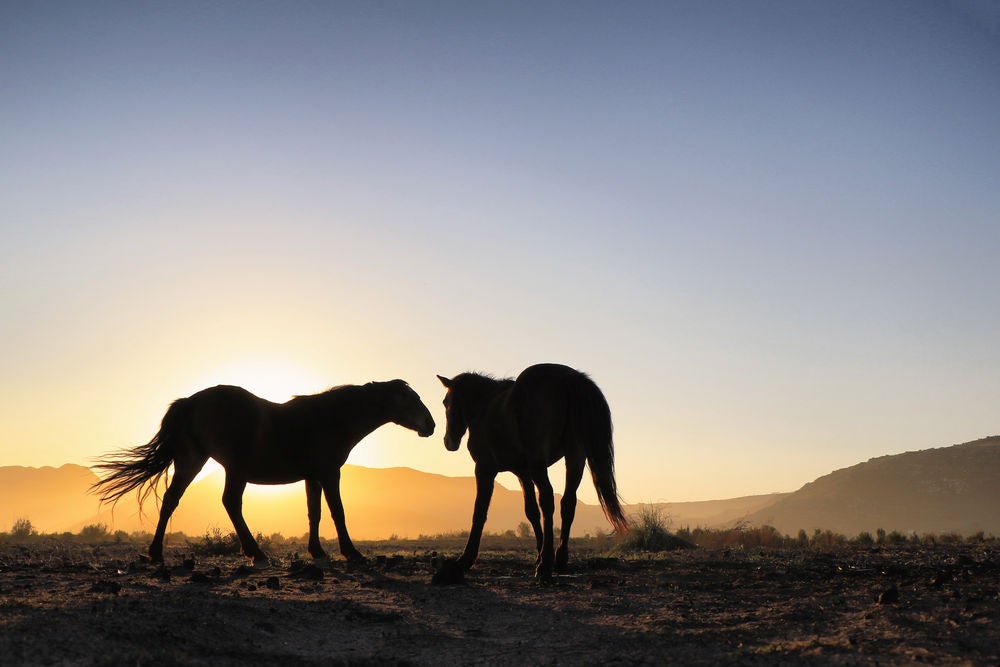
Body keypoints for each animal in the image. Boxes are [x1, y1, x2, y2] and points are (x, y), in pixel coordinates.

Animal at [93, 378, 434, 568]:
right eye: (413, 399)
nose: (431, 425)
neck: (331, 418)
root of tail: (190, 402)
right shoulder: (329, 473)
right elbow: (337, 512)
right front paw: (351, 553)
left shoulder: (313, 476)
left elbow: (314, 513)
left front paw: (317, 551)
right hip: (233, 468)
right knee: (230, 503)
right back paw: (256, 553)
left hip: (192, 461)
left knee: (171, 500)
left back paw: (156, 553)